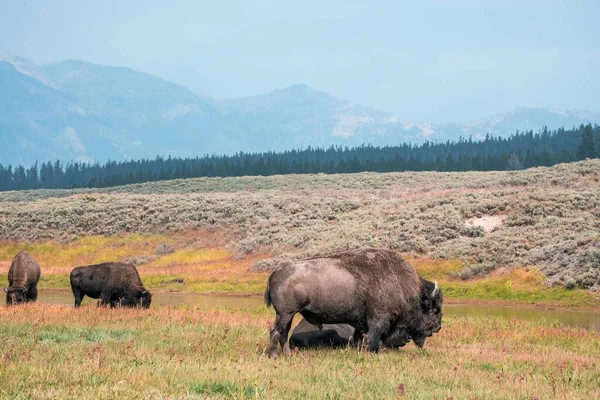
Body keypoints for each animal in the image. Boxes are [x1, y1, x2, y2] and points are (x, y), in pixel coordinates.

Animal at [264, 248, 442, 358]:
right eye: (434, 309)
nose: (437, 327)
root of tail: (277, 272)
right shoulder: (378, 320)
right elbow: (373, 337)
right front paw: (373, 352)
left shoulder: (360, 322)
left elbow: (358, 338)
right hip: (285, 314)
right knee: (275, 331)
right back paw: (274, 356)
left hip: (288, 315)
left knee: (283, 333)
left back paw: (288, 355)